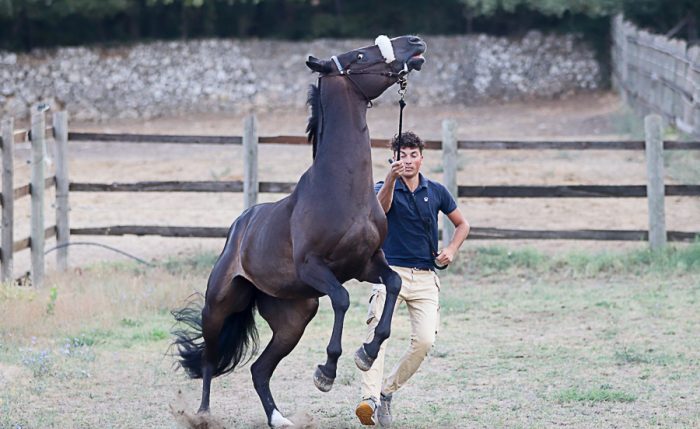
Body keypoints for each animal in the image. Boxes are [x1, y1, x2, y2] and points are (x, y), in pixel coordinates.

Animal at [174, 35, 426, 426]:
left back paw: (278, 418)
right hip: (218, 306)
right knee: (209, 360)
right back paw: (202, 414)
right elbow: (342, 299)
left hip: (293, 320)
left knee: (259, 370)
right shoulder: (315, 267)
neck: (342, 190)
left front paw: (366, 351)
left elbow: (395, 284)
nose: (414, 43)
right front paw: (327, 372)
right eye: (359, 55)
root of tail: (238, 229)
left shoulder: (367, 263)